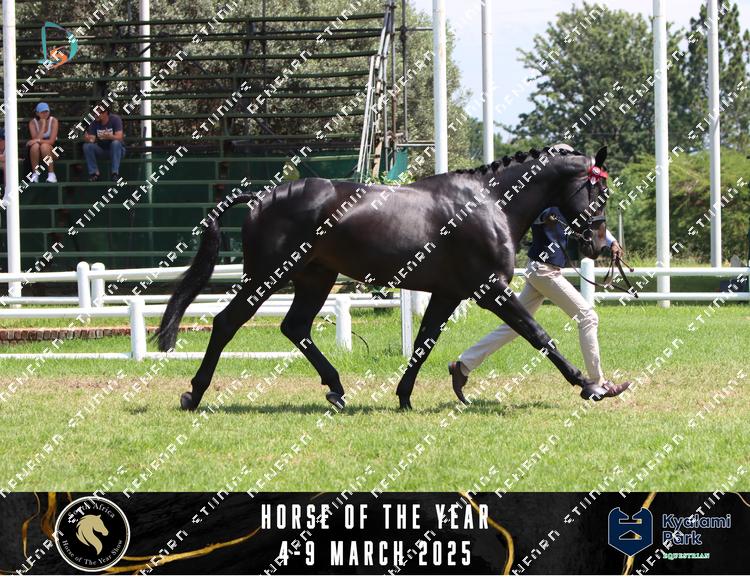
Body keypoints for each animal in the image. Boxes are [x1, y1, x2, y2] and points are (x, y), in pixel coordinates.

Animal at [155, 145, 611, 411]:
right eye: (596, 192)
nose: (598, 244)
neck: (488, 203)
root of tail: (262, 197)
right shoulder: (490, 291)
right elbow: (538, 335)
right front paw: (589, 386)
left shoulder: (446, 294)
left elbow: (424, 343)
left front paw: (404, 397)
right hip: (267, 277)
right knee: (226, 323)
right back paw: (194, 394)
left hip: (316, 278)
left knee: (295, 327)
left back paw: (336, 390)